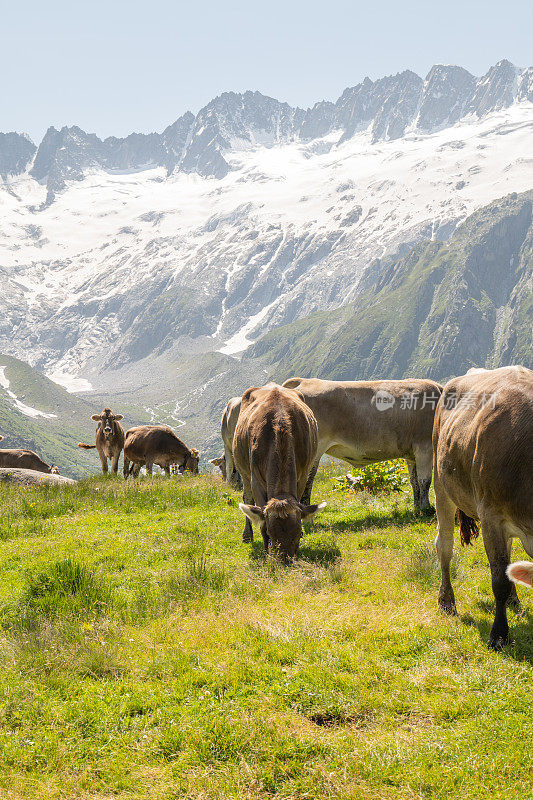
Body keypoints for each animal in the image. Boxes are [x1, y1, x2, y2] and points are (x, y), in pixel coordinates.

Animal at [233, 384, 324, 560]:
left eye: (299, 534)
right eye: (269, 532)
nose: (285, 561)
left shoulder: (302, 475)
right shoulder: (256, 478)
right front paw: (266, 551)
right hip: (243, 470)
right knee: (247, 498)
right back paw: (247, 535)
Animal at [280, 376, 442, 512]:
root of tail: (303, 381)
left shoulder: (411, 454)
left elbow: (414, 481)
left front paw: (417, 508)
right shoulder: (424, 447)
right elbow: (424, 481)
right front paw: (426, 508)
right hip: (314, 449)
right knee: (307, 479)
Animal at [432, 366, 532, 648]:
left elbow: (508, 568)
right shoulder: (491, 517)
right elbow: (498, 579)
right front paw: (499, 634)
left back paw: (514, 599)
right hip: (441, 483)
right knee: (444, 546)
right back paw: (446, 601)